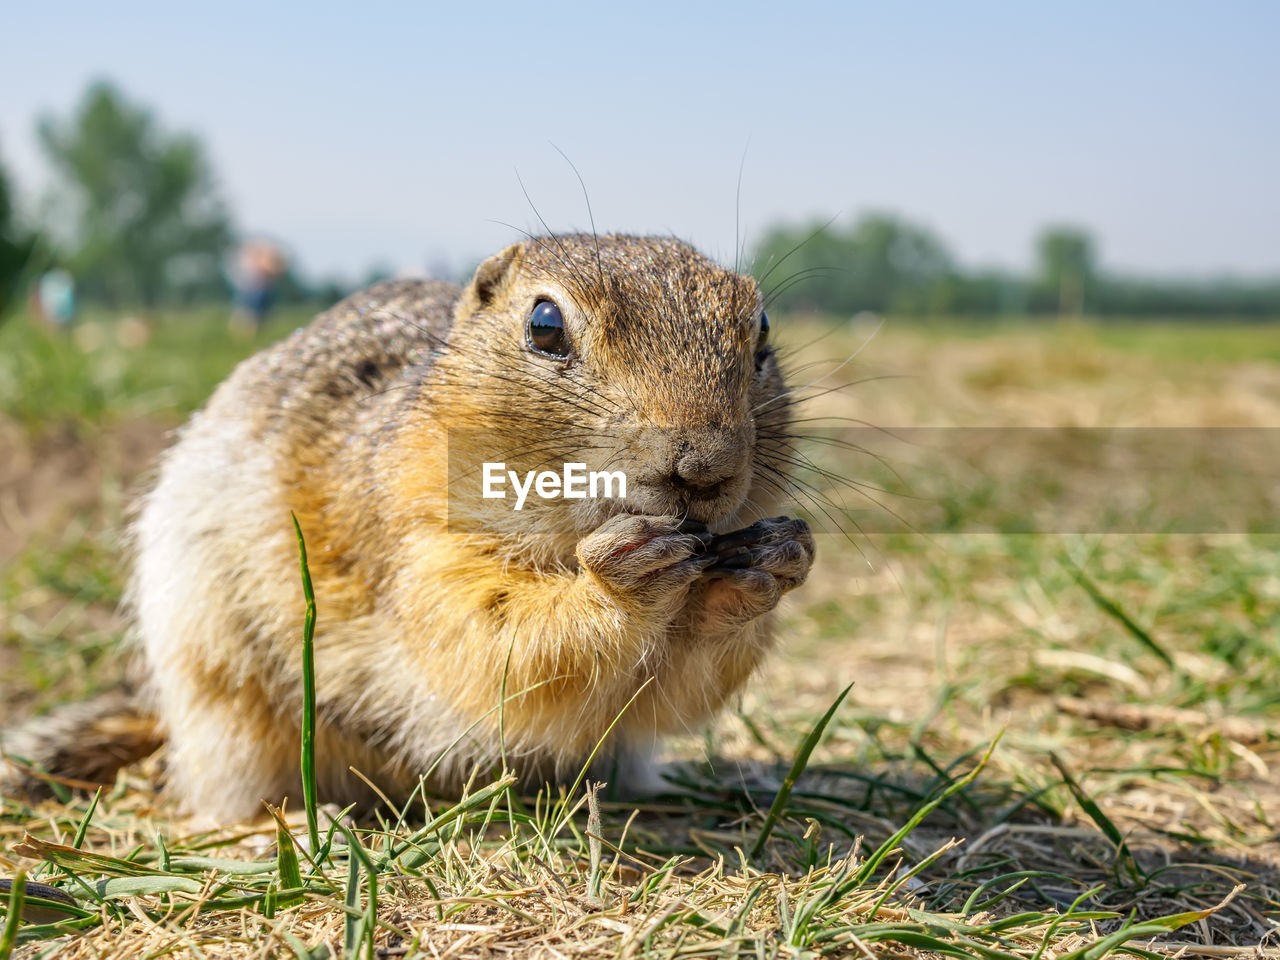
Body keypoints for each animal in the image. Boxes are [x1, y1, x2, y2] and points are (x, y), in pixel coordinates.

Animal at [2, 235, 808, 829]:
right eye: (545, 326)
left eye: (763, 331)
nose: (703, 467)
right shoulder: (416, 545)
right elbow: (492, 641)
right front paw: (620, 579)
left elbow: (671, 692)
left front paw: (770, 565)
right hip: (220, 695)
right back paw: (299, 827)